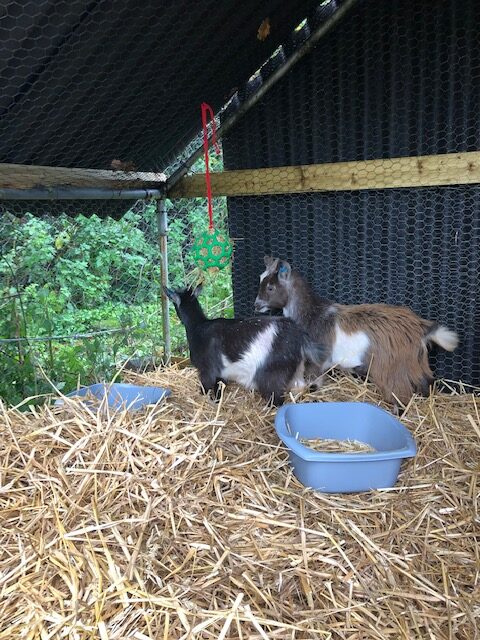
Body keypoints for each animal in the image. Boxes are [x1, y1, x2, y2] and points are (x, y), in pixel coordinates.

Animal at [164, 284, 326, 406]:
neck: (198, 326)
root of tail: (299, 335)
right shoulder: (221, 375)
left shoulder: (207, 371)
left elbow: (207, 388)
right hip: (297, 369)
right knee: (300, 387)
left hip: (272, 375)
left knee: (277, 399)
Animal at [254, 256, 459, 409]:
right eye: (260, 279)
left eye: (271, 287)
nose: (257, 305)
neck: (313, 315)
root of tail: (421, 328)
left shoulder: (318, 361)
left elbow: (314, 383)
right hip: (415, 363)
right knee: (426, 383)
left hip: (392, 369)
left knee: (401, 396)